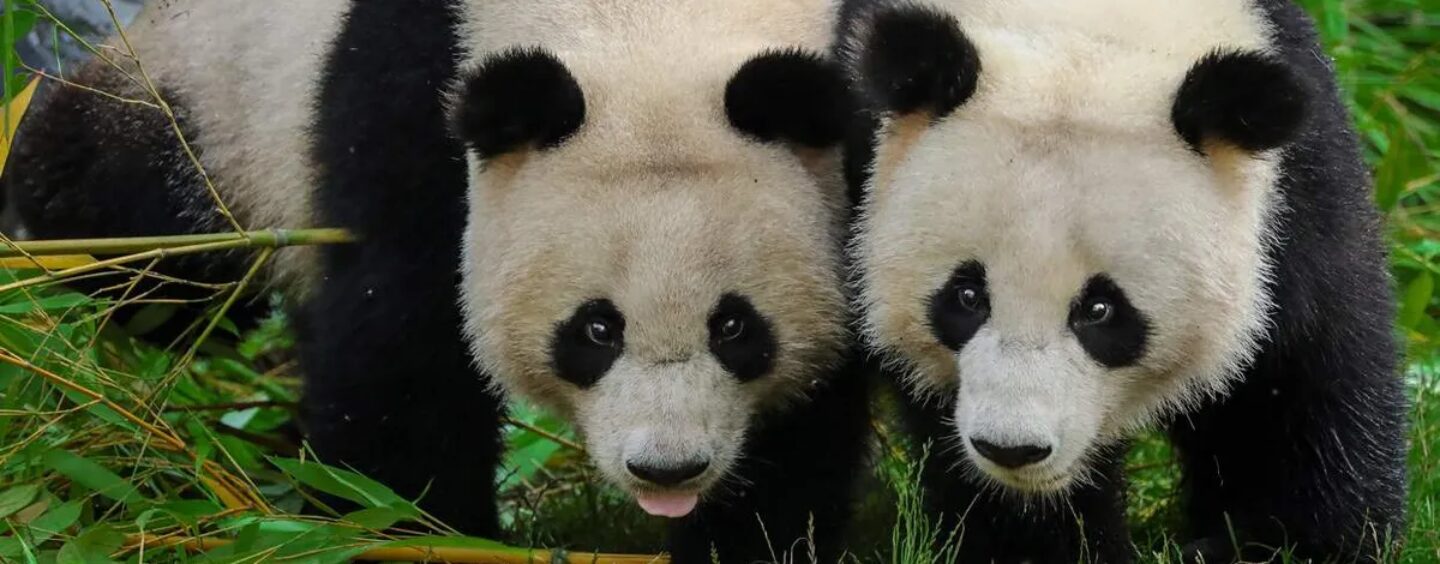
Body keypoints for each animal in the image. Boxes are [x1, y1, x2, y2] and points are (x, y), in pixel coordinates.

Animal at [4, 0, 874, 561]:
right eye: (595, 329)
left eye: (736, 328)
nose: (668, 469)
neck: (650, 32)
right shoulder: (412, 105)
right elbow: (403, 344)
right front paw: (418, 531)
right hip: (204, 112)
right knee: (138, 244)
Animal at [839, 0, 1408, 562]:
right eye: (967, 296)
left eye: (1100, 310)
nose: (1012, 448)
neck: (1088, 29)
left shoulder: (1299, 190)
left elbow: (1303, 376)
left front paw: (1279, 542)